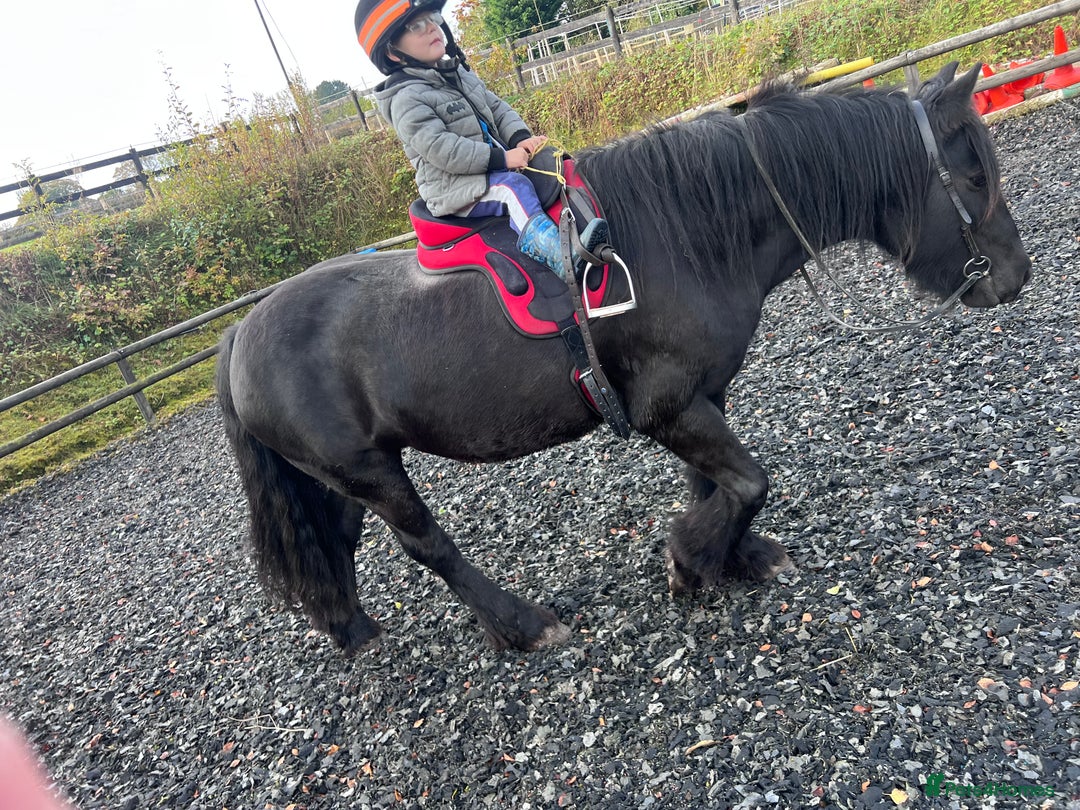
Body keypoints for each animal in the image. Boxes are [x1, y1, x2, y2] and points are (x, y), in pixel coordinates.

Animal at [215, 63, 1031, 654]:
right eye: (975, 178)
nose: (1018, 278)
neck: (685, 232)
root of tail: (242, 333)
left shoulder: (703, 396)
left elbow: (720, 484)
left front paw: (736, 556)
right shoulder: (664, 408)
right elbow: (749, 481)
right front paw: (691, 564)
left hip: (346, 473)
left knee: (336, 539)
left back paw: (351, 629)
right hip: (372, 472)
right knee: (427, 547)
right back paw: (521, 624)